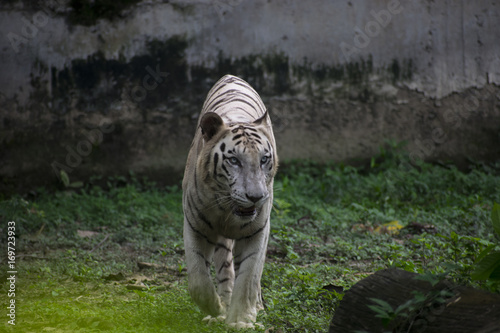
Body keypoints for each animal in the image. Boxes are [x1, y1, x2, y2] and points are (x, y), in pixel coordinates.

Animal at [183, 73, 280, 326]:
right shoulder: (194, 226)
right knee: (225, 269)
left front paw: (242, 318)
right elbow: (198, 280)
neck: (227, 209)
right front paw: (216, 308)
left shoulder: (258, 230)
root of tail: (231, 76)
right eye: (234, 160)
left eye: (264, 159)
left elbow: (249, 277)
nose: (255, 197)